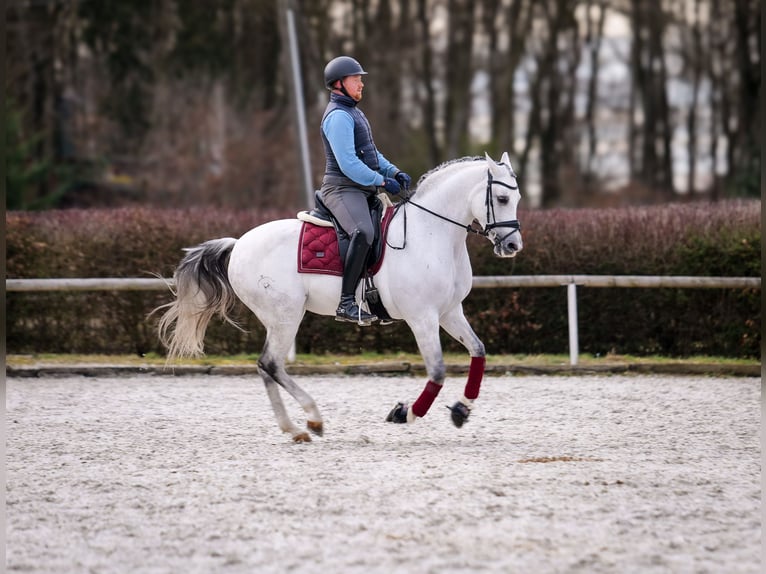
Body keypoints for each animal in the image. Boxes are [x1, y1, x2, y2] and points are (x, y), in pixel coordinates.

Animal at [159, 151, 524, 444]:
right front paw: (405, 413)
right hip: (285, 315)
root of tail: (238, 245)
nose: (512, 246)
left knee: (267, 368)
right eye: (502, 199)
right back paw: (311, 420)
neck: (431, 233)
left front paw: (462, 409)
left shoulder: (450, 312)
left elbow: (479, 351)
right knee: (271, 363)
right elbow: (437, 372)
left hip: (280, 319)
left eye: (517, 198)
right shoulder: (422, 317)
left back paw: (296, 428)